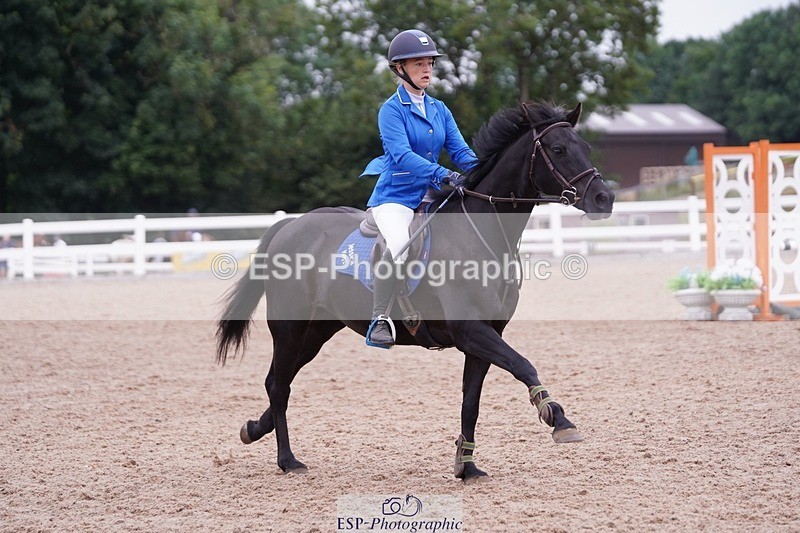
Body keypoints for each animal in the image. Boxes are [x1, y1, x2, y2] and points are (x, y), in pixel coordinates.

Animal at [216, 101, 615, 481]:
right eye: (559, 150)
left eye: (586, 147)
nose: (603, 198)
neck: (481, 233)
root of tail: (290, 225)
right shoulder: (471, 330)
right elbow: (524, 365)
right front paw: (559, 420)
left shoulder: (486, 335)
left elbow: (471, 402)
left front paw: (467, 467)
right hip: (290, 328)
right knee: (279, 385)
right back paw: (287, 460)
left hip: (317, 331)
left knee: (278, 382)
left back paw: (254, 429)